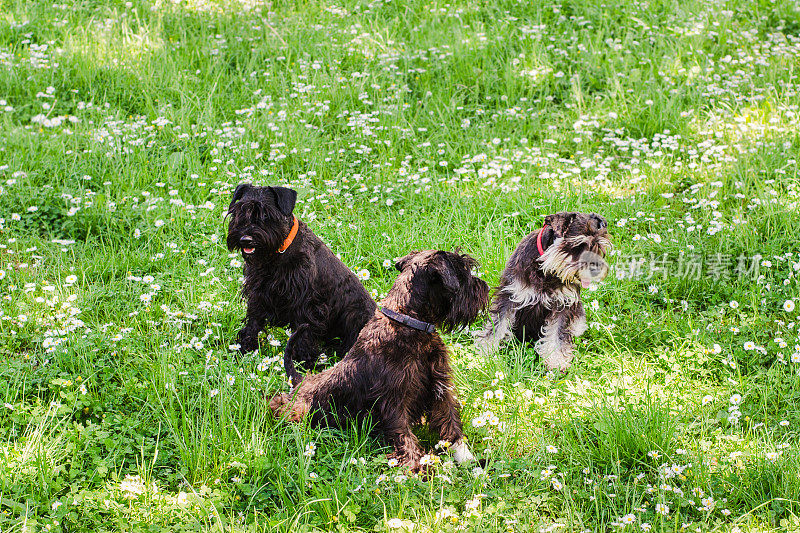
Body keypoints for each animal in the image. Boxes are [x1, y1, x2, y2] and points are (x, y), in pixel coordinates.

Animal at [225, 183, 376, 378]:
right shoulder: (258, 294)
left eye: (266, 214)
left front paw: (305, 363)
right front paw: (244, 348)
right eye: (239, 212)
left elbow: (304, 334)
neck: (277, 254)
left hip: (355, 315)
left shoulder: (307, 304)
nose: (246, 239)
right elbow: (253, 322)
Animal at [272, 249, 490, 470]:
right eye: (462, 272)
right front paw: (418, 469)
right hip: (300, 408)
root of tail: (299, 381)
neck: (409, 322)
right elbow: (405, 437)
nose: (485, 288)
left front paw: (468, 459)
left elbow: (450, 422)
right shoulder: (394, 402)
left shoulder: (439, 387)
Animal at [476, 212, 612, 370]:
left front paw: (556, 360)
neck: (546, 269)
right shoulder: (510, 295)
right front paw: (485, 350)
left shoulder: (564, 306)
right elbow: (498, 324)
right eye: (578, 245)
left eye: (599, 247)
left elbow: (557, 333)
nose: (596, 270)